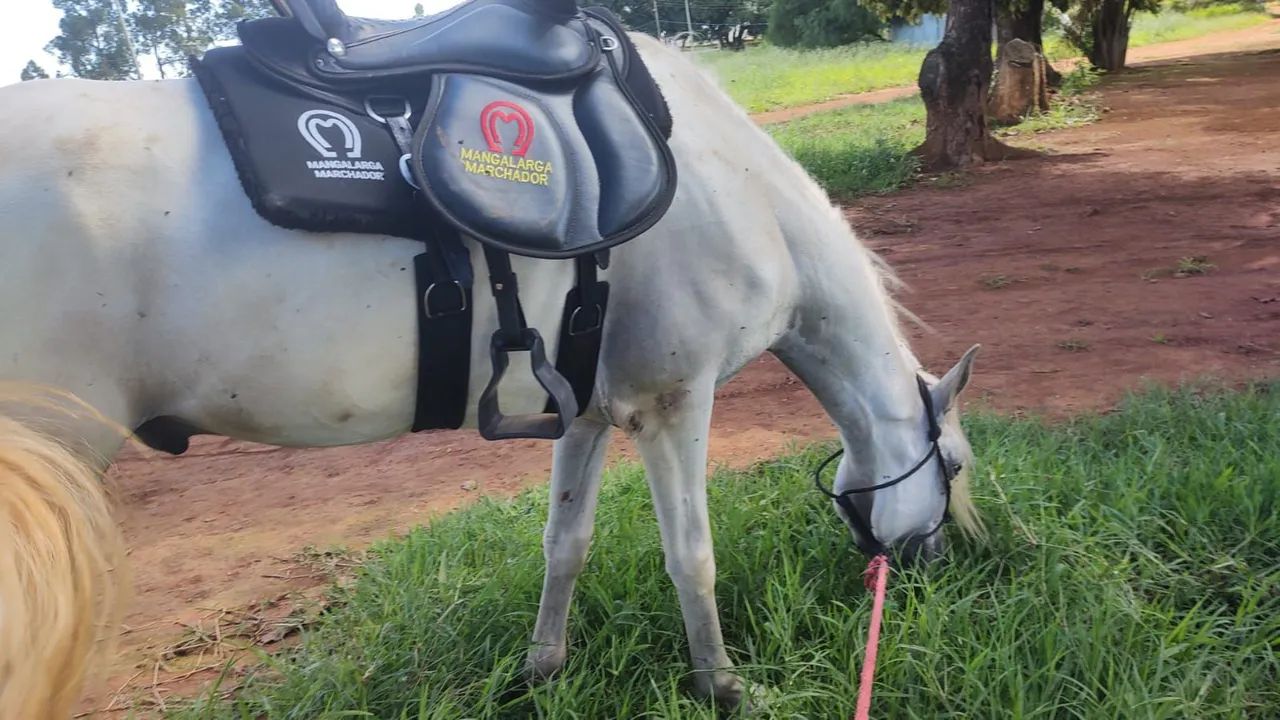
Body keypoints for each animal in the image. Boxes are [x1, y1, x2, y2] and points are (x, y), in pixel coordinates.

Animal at [0, 32, 982, 716]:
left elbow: (565, 544)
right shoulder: (674, 401)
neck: (730, 184)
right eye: (956, 465)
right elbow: (691, 557)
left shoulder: (587, 410)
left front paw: (542, 671)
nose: (942, 566)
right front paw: (727, 687)